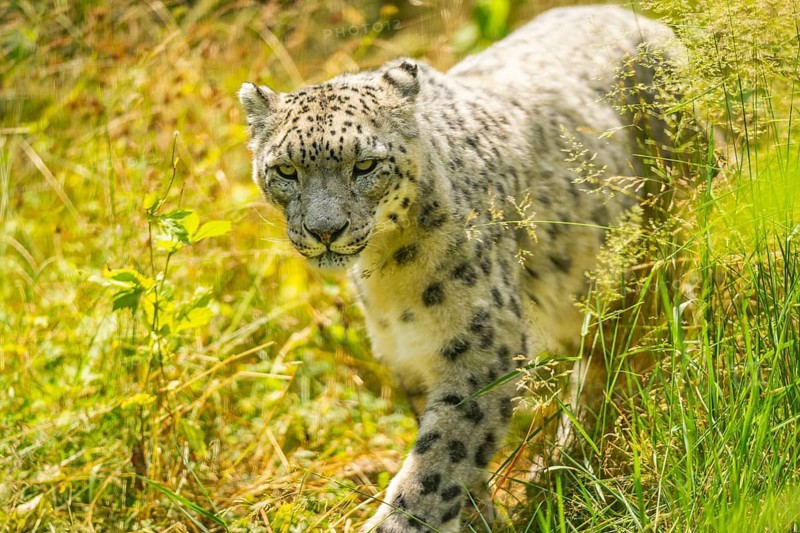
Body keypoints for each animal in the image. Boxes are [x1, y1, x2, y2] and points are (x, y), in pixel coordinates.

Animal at [239, 5, 687, 532]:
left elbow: (441, 457)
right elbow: (454, 457)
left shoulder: (481, 347)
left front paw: (404, 521)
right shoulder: (410, 354)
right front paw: (479, 516)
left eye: (366, 165)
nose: (324, 229)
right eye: (286, 170)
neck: (388, 275)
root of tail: (636, 17)